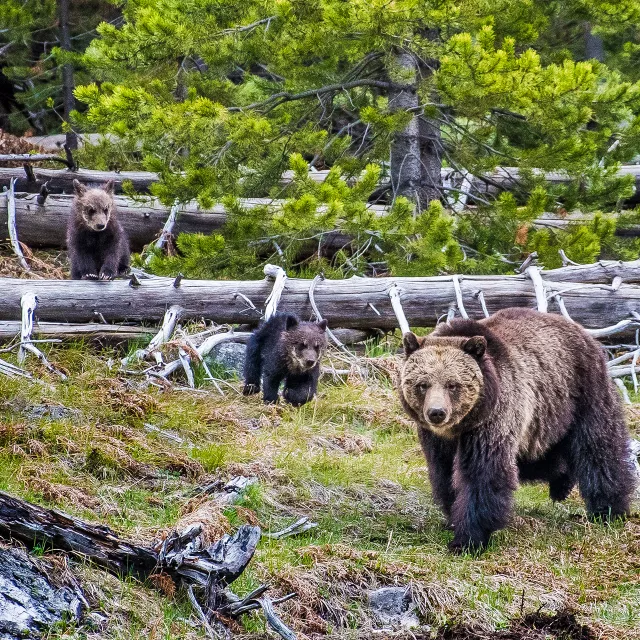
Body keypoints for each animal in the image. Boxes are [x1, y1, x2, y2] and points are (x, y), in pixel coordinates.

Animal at [398, 307, 636, 553]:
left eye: (452, 384)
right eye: (422, 384)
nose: (437, 412)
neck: (459, 428)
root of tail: (583, 331)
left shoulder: (492, 420)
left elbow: (483, 474)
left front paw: (468, 540)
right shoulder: (437, 441)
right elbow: (445, 474)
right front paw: (453, 519)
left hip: (581, 392)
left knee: (598, 448)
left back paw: (608, 509)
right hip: (543, 416)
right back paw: (561, 482)